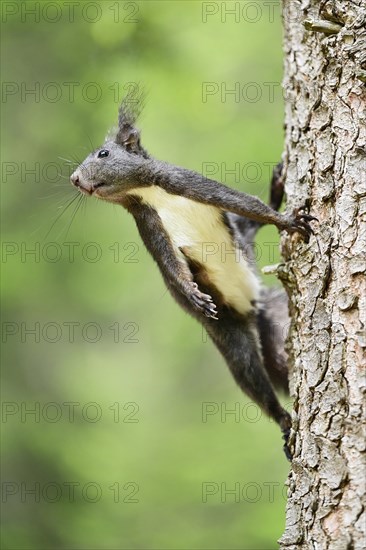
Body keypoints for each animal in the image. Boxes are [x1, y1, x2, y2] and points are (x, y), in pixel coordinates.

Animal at [70, 95, 316, 462]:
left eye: (103, 154)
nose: (74, 178)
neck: (147, 192)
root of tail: (250, 312)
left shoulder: (184, 181)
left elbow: (244, 204)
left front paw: (285, 219)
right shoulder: (149, 226)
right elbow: (172, 266)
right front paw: (192, 293)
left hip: (270, 311)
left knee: (247, 231)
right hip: (229, 335)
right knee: (252, 377)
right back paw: (285, 421)